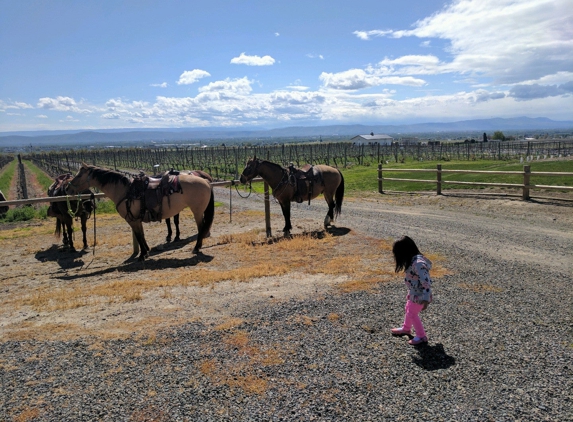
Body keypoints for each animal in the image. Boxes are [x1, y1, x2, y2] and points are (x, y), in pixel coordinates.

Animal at [66, 162, 214, 258]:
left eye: (78, 175)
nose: (68, 188)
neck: (124, 191)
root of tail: (206, 181)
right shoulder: (137, 219)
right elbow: (141, 235)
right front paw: (146, 251)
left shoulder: (132, 220)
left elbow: (138, 235)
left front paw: (142, 254)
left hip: (197, 211)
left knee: (201, 228)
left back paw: (196, 248)